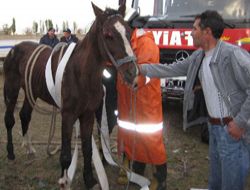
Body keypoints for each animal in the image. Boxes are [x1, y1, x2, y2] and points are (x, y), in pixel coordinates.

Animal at [2, 2, 138, 189]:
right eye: (108, 35)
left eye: (129, 32)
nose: (132, 73)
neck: (81, 73)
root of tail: (13, 50)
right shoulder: (67, 115)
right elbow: (66, 154)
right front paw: (64, 180)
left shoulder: (87, 114)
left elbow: (87, 149)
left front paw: (89, 179)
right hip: (12, 90)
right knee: (10, 119)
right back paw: (11, 153)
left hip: (31, 92)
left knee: (25, 115)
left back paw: (30, 149)